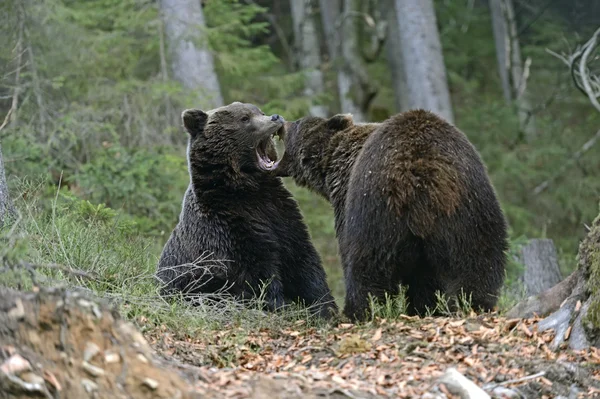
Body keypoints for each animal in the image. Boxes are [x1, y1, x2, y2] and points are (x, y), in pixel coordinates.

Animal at [156, 101, 338, 320]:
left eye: (259, 111)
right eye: (244, 118)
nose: (275, 117)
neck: (247, 189)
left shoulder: (281, 213)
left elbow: (303, 260)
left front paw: (325, 307)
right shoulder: (229, 226)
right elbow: (257, 272)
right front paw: (283, 306)